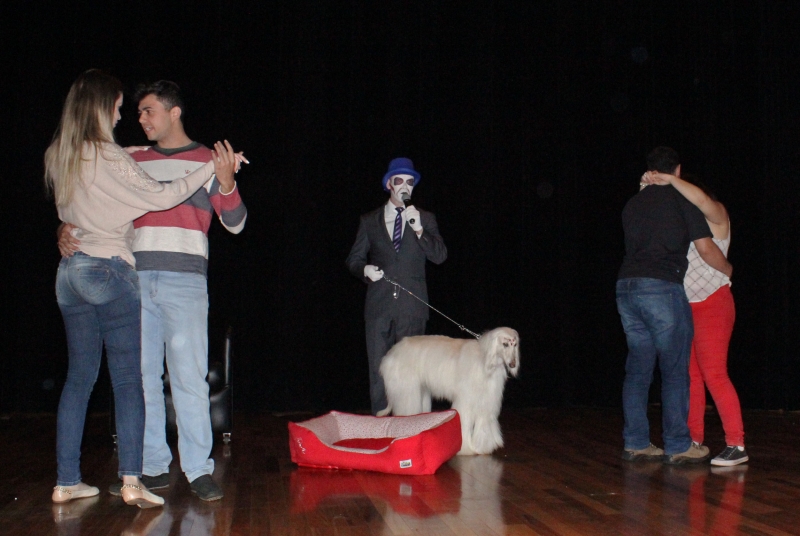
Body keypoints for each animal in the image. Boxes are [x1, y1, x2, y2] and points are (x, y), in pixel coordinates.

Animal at [377, 327, 519, 455]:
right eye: (505, 344)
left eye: (515, 344)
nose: (513, 364)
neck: (486, 361)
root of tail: (392, 351)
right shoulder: (466, 399)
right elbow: (464, 421)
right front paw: (465, 448)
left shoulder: (486, 400)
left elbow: (483, 424)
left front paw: (483, 447)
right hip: (407, 390)